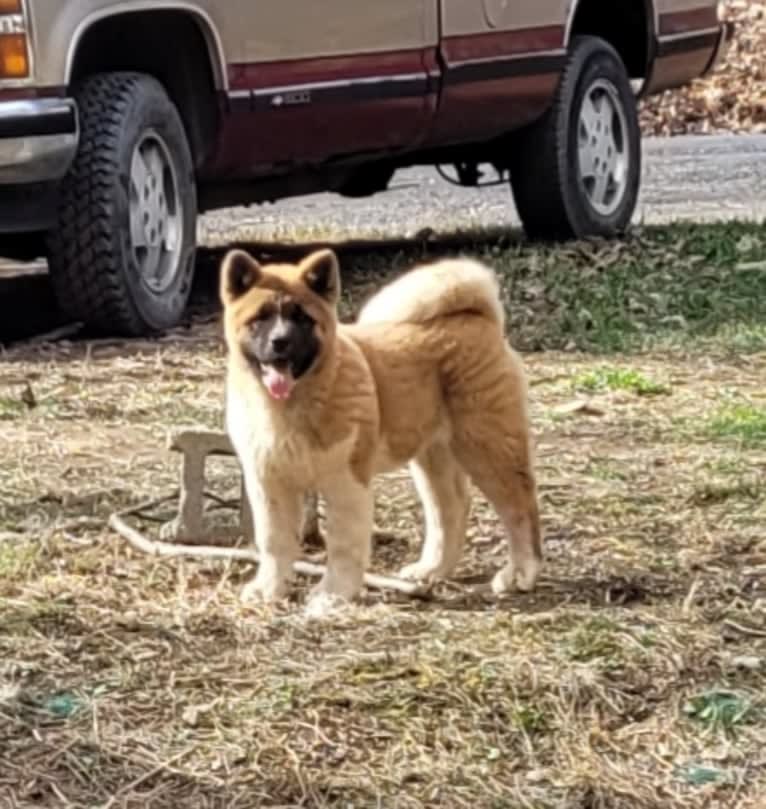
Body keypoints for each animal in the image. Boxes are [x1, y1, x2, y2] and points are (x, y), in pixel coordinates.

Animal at [219, 246, 544, 612]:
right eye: (260, 318)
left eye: (302, 318)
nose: (281, 342)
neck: (289, 406)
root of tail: (479, 316)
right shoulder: (269, 484)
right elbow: (274, 542)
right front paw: (269, 589)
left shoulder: (345, 483)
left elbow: (343, 544)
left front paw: (333, 594)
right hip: (434, 457)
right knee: (451, 510)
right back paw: (431, 570)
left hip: (488, 446)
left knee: (520, 509)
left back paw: (520, 573)